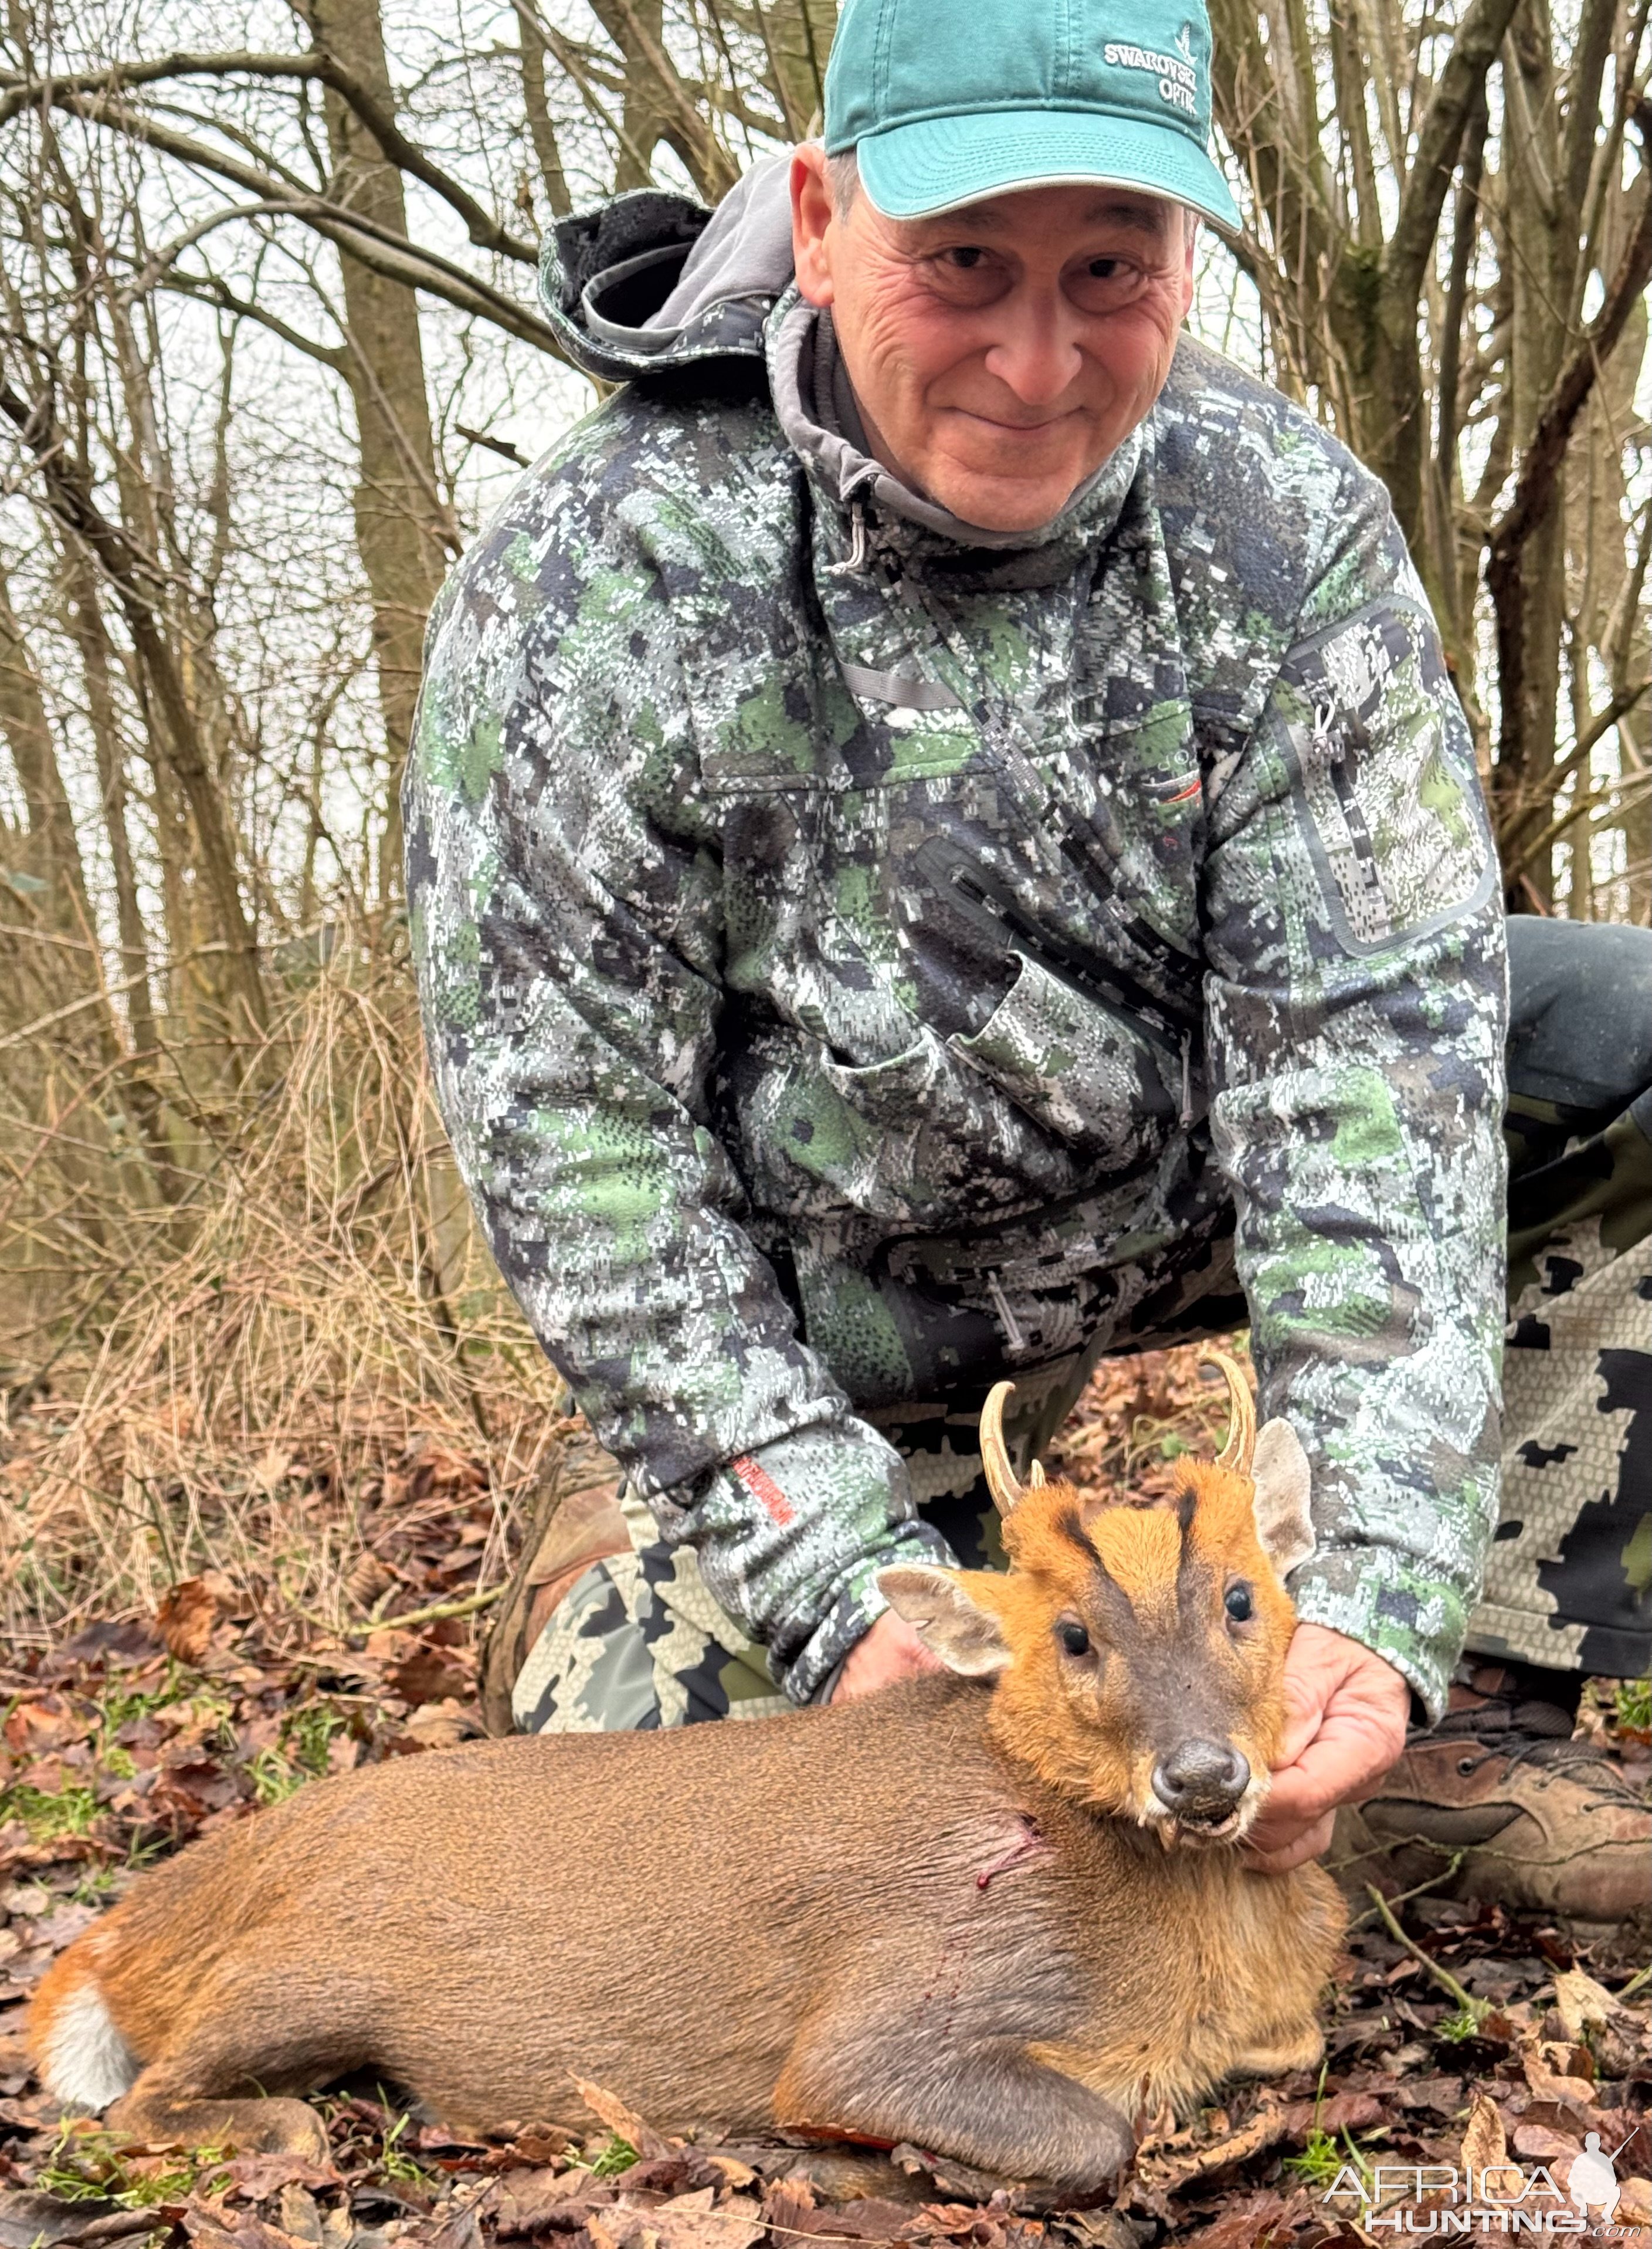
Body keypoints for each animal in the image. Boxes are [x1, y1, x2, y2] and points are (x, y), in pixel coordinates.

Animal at [29, 1349, 1348, 2194]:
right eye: (1071, 1634)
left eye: (1242, 1596)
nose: (1200, 1778)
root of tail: (144, 1921)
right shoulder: (897, 2002)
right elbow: (1089, 2133)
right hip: (303, 1972)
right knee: (147, 2104)